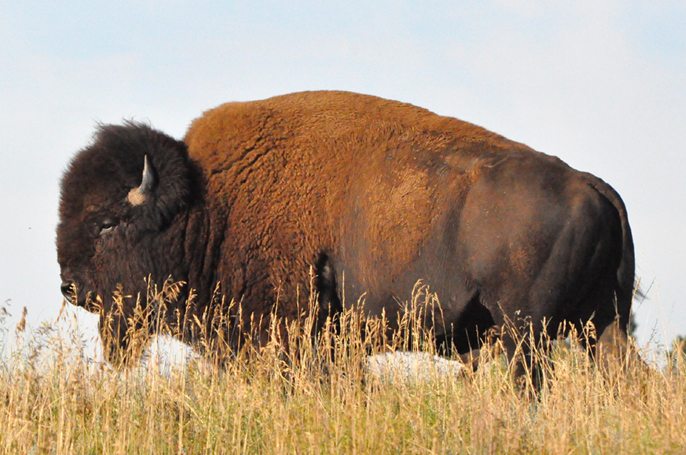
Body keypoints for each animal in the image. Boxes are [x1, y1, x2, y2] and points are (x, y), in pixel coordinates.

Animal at [56, 90, 636, 374]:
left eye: (106, 223)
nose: (70, 286)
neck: (207, 206)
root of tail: (592, 184)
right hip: (602, 325)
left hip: (525, 333)